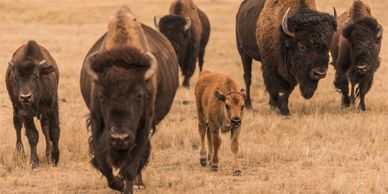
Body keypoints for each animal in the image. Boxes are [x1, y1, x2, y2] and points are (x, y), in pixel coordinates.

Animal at [5, 40, 60, 168]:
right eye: (15, 77)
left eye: (36, 75)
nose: (25, 97)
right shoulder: (25, 113)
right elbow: (32, 135)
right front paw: (34, 162)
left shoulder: (52, 108)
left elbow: (53, 132)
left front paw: (54, 158)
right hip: (15, 108)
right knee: (17, 126)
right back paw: (20, 152)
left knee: (45, 128)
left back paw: (48, 153)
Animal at [80, 6, 180, 194]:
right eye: (102, 95)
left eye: (139, 94)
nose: (120, 138)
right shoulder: (97, 121)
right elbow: (103, 163)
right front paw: (118, 183)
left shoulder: (145, 124)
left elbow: (131, 166)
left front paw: (127, 185)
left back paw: (139, 183)